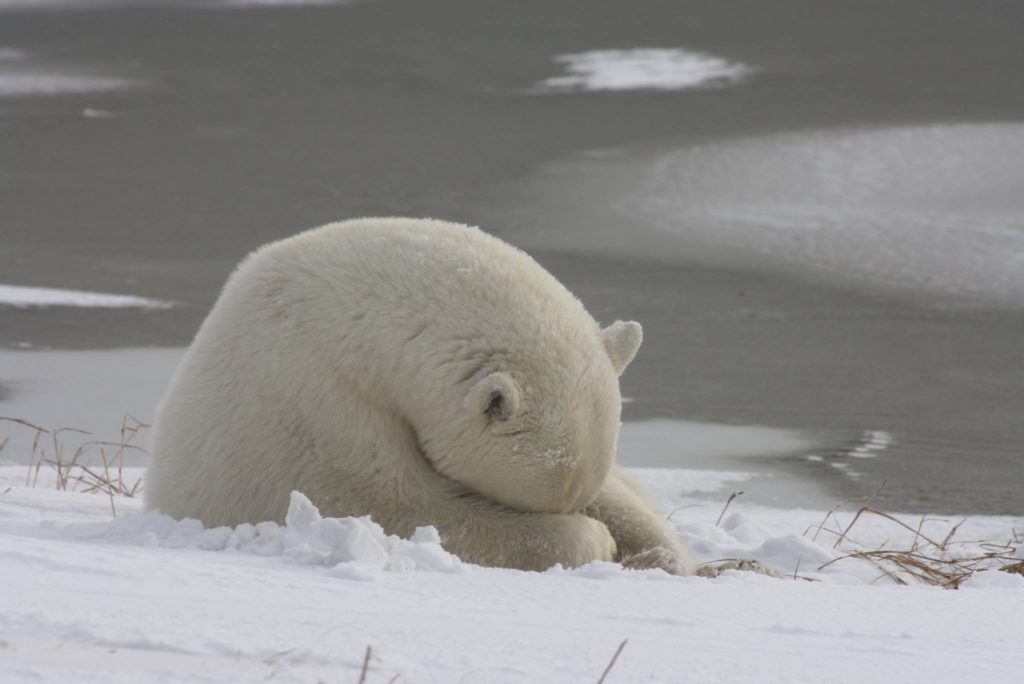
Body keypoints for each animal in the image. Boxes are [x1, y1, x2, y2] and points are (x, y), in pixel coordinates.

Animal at [145, 217, 694, 575]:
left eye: (577, 494)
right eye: (521, 500)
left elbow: (623, 497)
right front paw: (595, 539)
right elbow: (397, 508)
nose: (579, 511)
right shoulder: (317, 404)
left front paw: (664, 555)